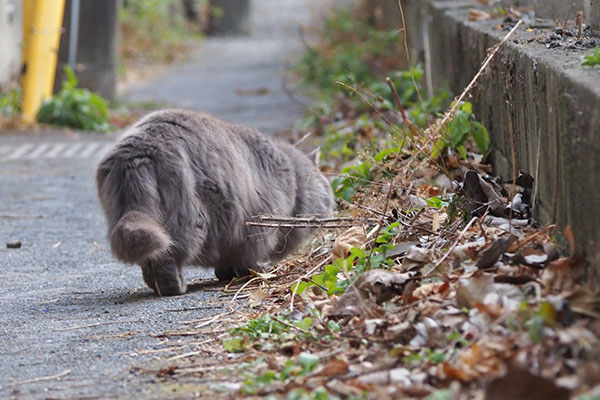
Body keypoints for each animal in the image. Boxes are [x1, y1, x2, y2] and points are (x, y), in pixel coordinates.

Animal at [96, 111, 336, 296]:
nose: (334, 207)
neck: (292, 182)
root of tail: (137, 153)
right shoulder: (257, 225)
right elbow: (248, 255)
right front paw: (252, 272)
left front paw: (225, 273)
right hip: (190, 219)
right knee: (168, 256)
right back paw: (173, 288)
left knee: (150, 258)